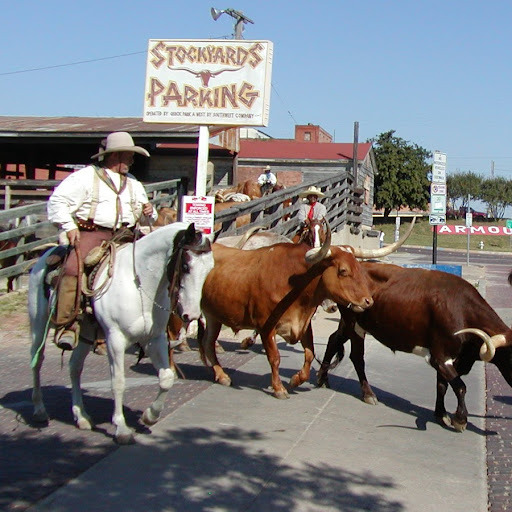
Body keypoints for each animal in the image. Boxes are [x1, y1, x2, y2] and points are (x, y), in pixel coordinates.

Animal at [29, 222, 213, 442]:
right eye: (186, 266)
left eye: (210, 268)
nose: (191, 314)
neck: (139, 284)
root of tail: (47, 254)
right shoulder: (115, 339)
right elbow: (118, 382)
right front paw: (121, 428)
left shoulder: (155, 338)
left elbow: (167, 377)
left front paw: (150, 416)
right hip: (38, 325)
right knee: (37, 362)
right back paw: (39, 411)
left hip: (86, 333)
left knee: (75, 367)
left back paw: (81, 416)